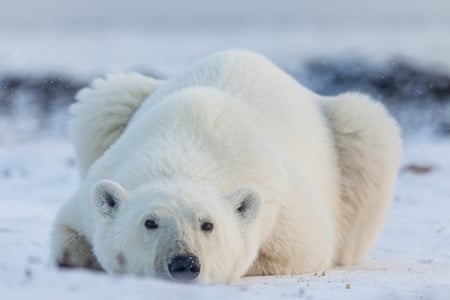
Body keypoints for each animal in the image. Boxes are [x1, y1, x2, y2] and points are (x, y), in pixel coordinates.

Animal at [51, 49, 402, 284]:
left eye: (208, 225)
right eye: (149, 222)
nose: (184, 264)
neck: (186, 148)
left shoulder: (283, 208)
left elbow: (297, 251)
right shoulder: (99, 183)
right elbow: (67, 237)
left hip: (351, 131)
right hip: (120, 101)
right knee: (107, 98)